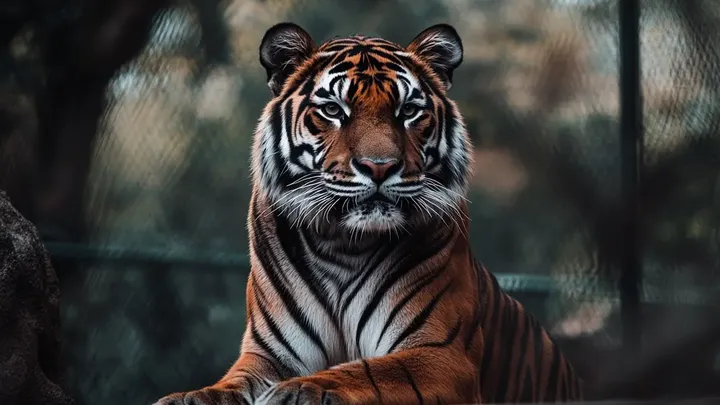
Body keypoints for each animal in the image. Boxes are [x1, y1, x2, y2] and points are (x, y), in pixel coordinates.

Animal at [155, 22, 583, 405]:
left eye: (408, 111)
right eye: (332, 110)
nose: (379, 167)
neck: (343, 243)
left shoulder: (441, 354)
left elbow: (366, 371)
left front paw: (297, 390)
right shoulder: (268, 354)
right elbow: (229, 384)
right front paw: (190, 397)